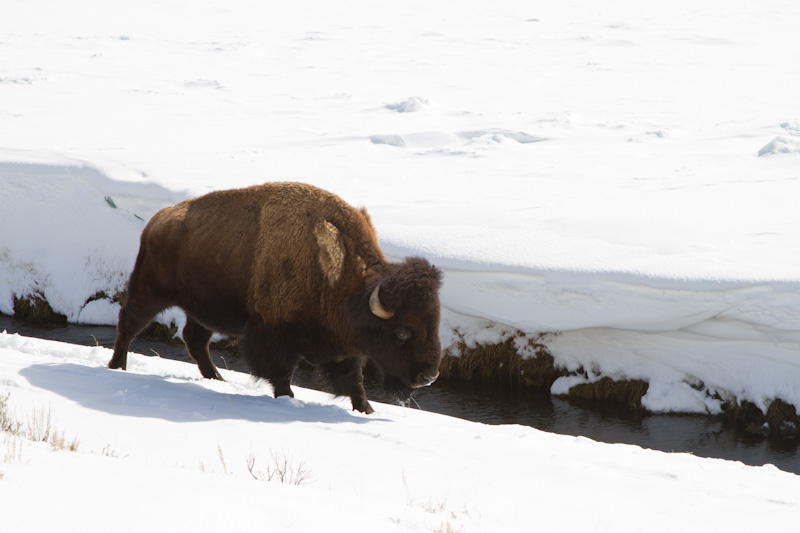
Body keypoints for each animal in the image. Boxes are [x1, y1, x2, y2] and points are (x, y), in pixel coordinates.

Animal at [108, 181, 444, 414]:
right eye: (401, 332)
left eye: (435, 323)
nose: (430, 376)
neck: (343, 280)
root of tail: (158, 219)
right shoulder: (275, 335)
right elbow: (282, 374)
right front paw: (288, 401)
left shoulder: (345, 347)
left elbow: (355, 382)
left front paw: (367, 410)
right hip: (150, 291)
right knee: (129, 322)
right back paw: (117, 367)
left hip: (202, 308)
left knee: (195, 339)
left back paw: (217, 379)